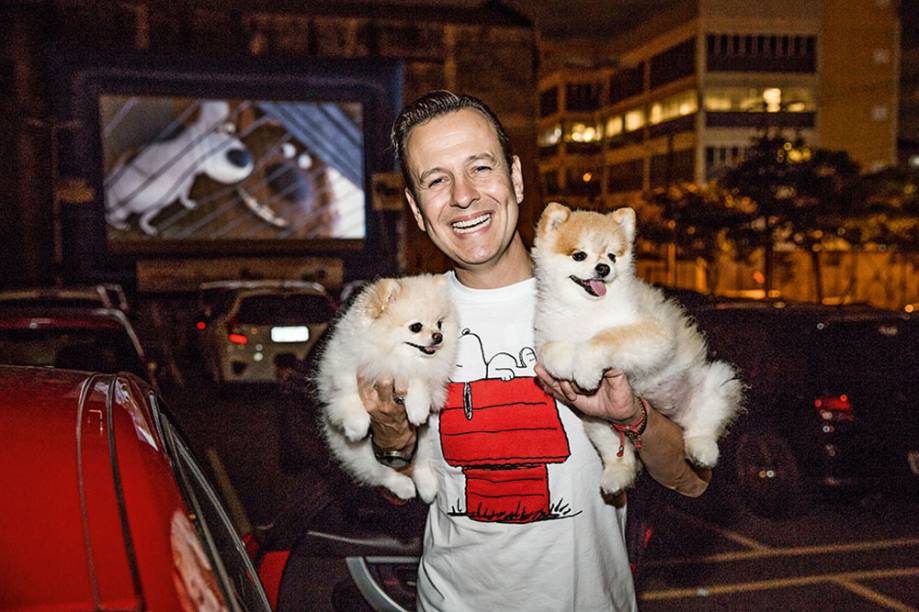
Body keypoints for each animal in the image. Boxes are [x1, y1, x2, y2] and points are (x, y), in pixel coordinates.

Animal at [318, 274, 458, 502]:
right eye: (416, 327)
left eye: (439, 323)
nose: (439, 336)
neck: (392, 354)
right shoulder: (342, 367)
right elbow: (348, 392)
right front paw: (356, 425)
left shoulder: (416, 371)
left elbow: (419, 383)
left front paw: (417, 409)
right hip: (357, 455)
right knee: (382, 474)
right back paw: (405, 487)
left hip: (426, 441)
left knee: (421, 465)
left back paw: (427, 489)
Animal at [532, 203, 740, 494]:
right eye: (579, 255)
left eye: (612, 256)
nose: (603, 268)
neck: (586, 308)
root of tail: (671, 414)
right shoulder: (549, 334)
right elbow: (551, 351)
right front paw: (566, 363)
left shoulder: (652, 334)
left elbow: (603, 338)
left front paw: (585, 369)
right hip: (597, 422)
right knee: (619, 454)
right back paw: (616, 476)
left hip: (716, 381)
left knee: (705, 423)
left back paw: (702, 449)